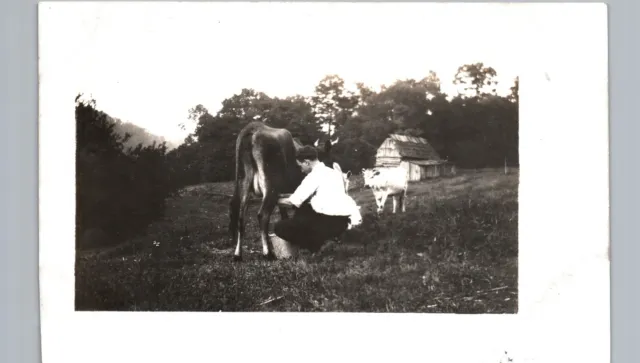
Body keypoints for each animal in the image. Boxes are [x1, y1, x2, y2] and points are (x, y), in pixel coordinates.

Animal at [230, 122, 340, 262]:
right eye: (330, 160)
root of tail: (252, 128)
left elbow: (284, 214)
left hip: (243, 183)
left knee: (240, 217)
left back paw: (237, 255)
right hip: (270, 186)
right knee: (262, 215)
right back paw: (268, 254)